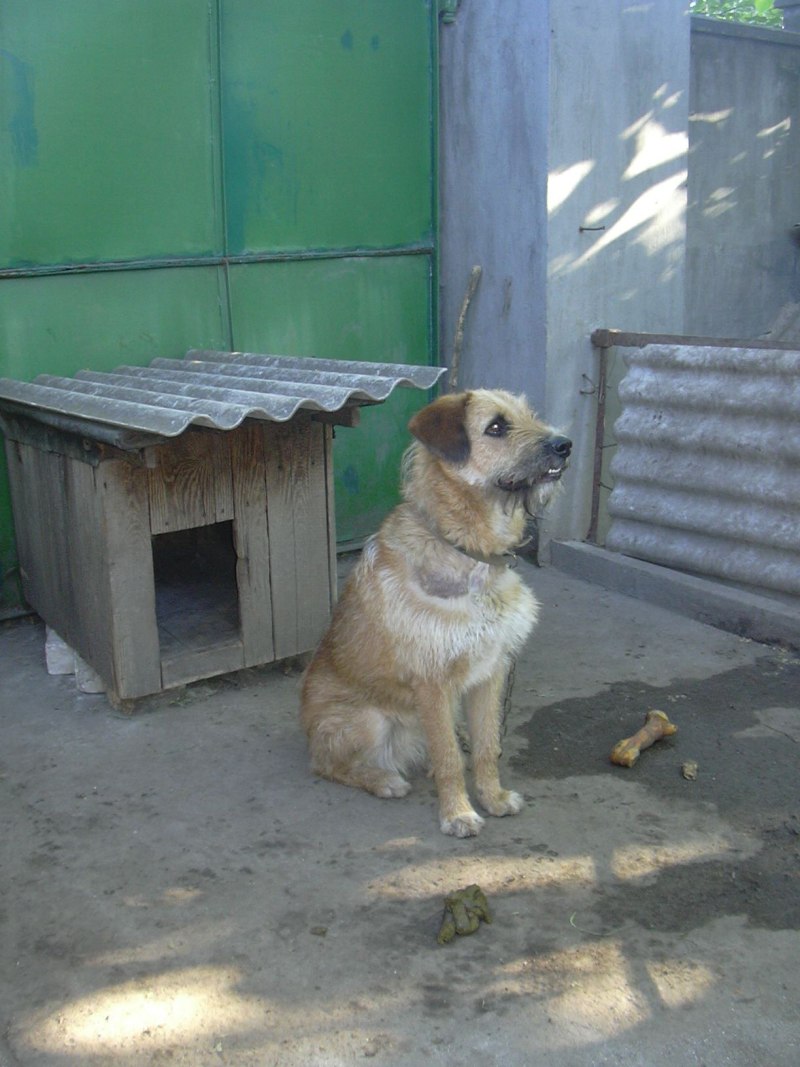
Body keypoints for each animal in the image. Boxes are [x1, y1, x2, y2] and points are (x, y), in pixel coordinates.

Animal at [298, 388, 571, 836]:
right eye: (497, 426)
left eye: (530, 415)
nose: (565, 445)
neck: (469, 551)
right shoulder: (433, 682)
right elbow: (447, 759)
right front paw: (458, 813)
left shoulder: (491, 672)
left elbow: (487, 745)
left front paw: (492, 797)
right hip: (369, 721)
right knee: (326, 764)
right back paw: (383, 779)